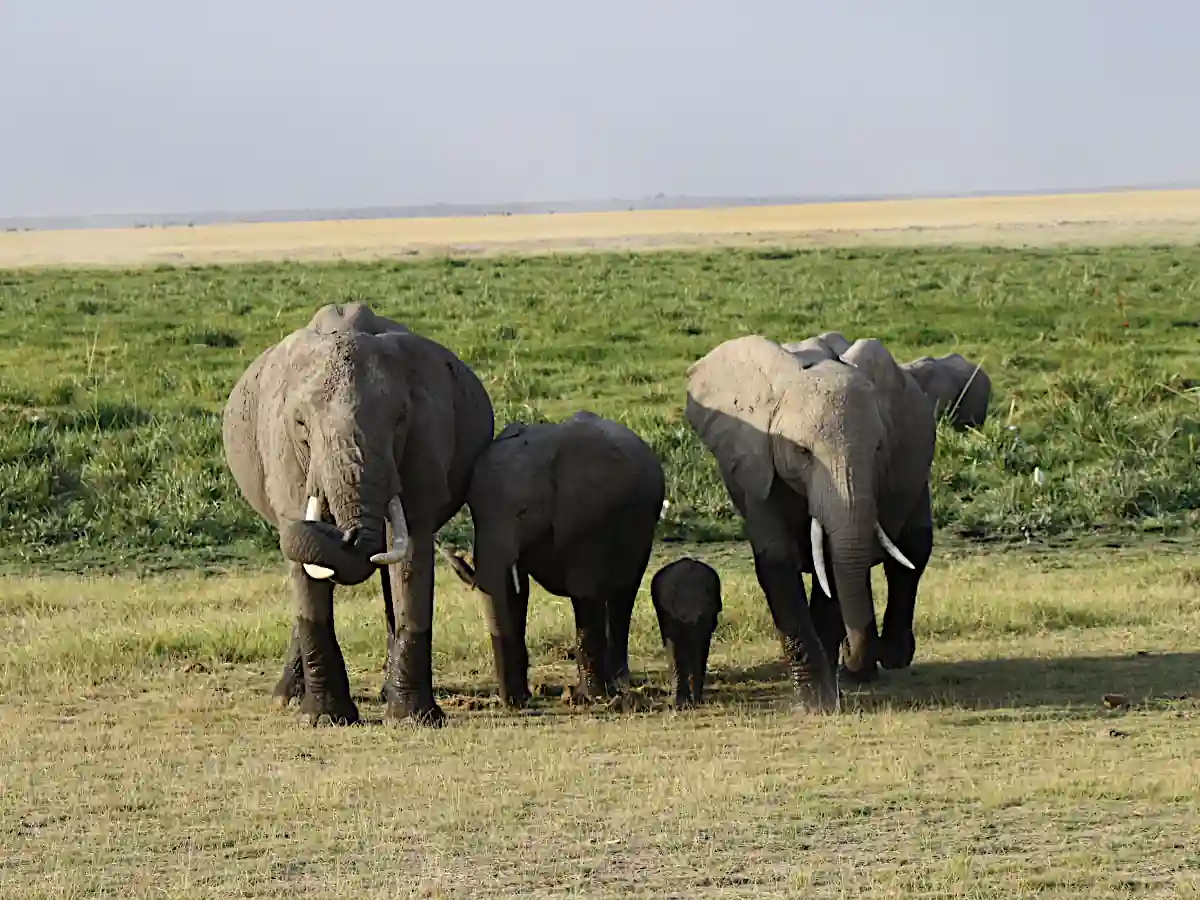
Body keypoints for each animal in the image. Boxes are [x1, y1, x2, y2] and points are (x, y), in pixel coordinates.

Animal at [221, 302, 494, 726]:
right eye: (300, 424)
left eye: (400, 420)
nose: (347, 536)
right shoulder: (282, 453)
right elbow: (306, 570)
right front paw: (323, 719)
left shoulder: (426, 443)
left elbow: (412, 554)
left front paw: (412, 718)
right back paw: (285, 698)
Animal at [443, 410, 666, 707]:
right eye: (473, 510)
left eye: (523, 512)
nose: (512, 703)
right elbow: (514, 593)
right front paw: (522, 699)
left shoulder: (585, 519)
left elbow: (585, 592)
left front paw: (588, 698)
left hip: (643, 529)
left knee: (623, 593)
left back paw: (620, 686)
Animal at [685, 333, 936, 713]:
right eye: (803, 451)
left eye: (879, 449)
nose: (855, 658)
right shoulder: (758, 468)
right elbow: (777, 562)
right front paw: (817, 703)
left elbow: (831, 567)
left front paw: (826, 696)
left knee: (912, 552)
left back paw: (887, 658)